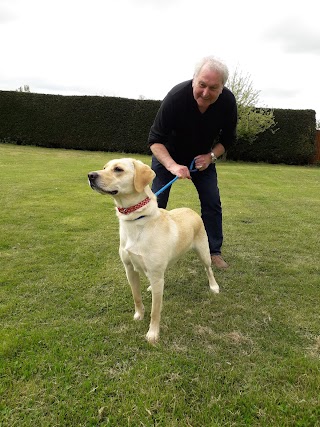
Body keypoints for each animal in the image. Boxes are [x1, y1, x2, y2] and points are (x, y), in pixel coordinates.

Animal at [89, 158, 219, 344]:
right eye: (104, 167)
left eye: (118, 169)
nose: (90, 175)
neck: (136, 219)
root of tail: (190, 209)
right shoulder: (129, 269)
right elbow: (136, 297)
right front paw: (138, 315)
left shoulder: (156, 276)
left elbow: (155, 311)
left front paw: (153, 333)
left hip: (204, 252)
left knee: (208, 269)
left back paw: (214, 286)